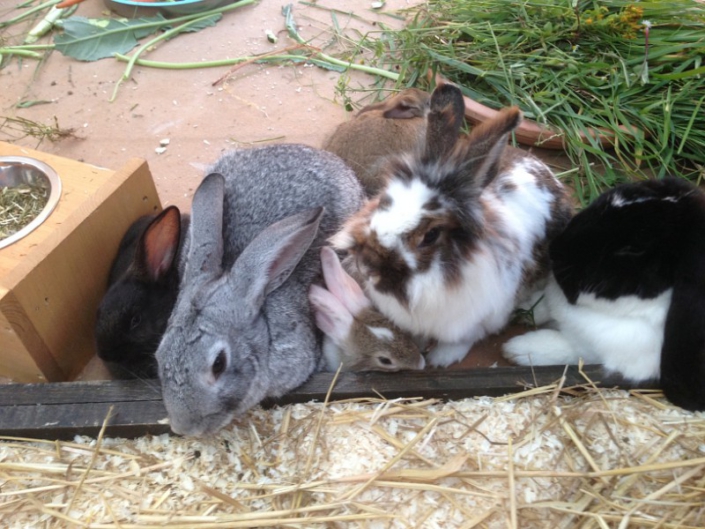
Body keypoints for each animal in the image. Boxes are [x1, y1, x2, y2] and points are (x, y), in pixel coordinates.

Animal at [330, 83, 573, 368]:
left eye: (430, 235)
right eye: (383, 202)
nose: (366, 267)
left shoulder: (481, 316)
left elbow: (464, 339)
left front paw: (440, 359)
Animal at [503, 177, 705, 411]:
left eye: (632, 248)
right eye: (604, 201)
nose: (554, 250)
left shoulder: (600, 353)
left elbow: (565, 348)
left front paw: (517, 350)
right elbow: (543, 305)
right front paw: (522, 310)